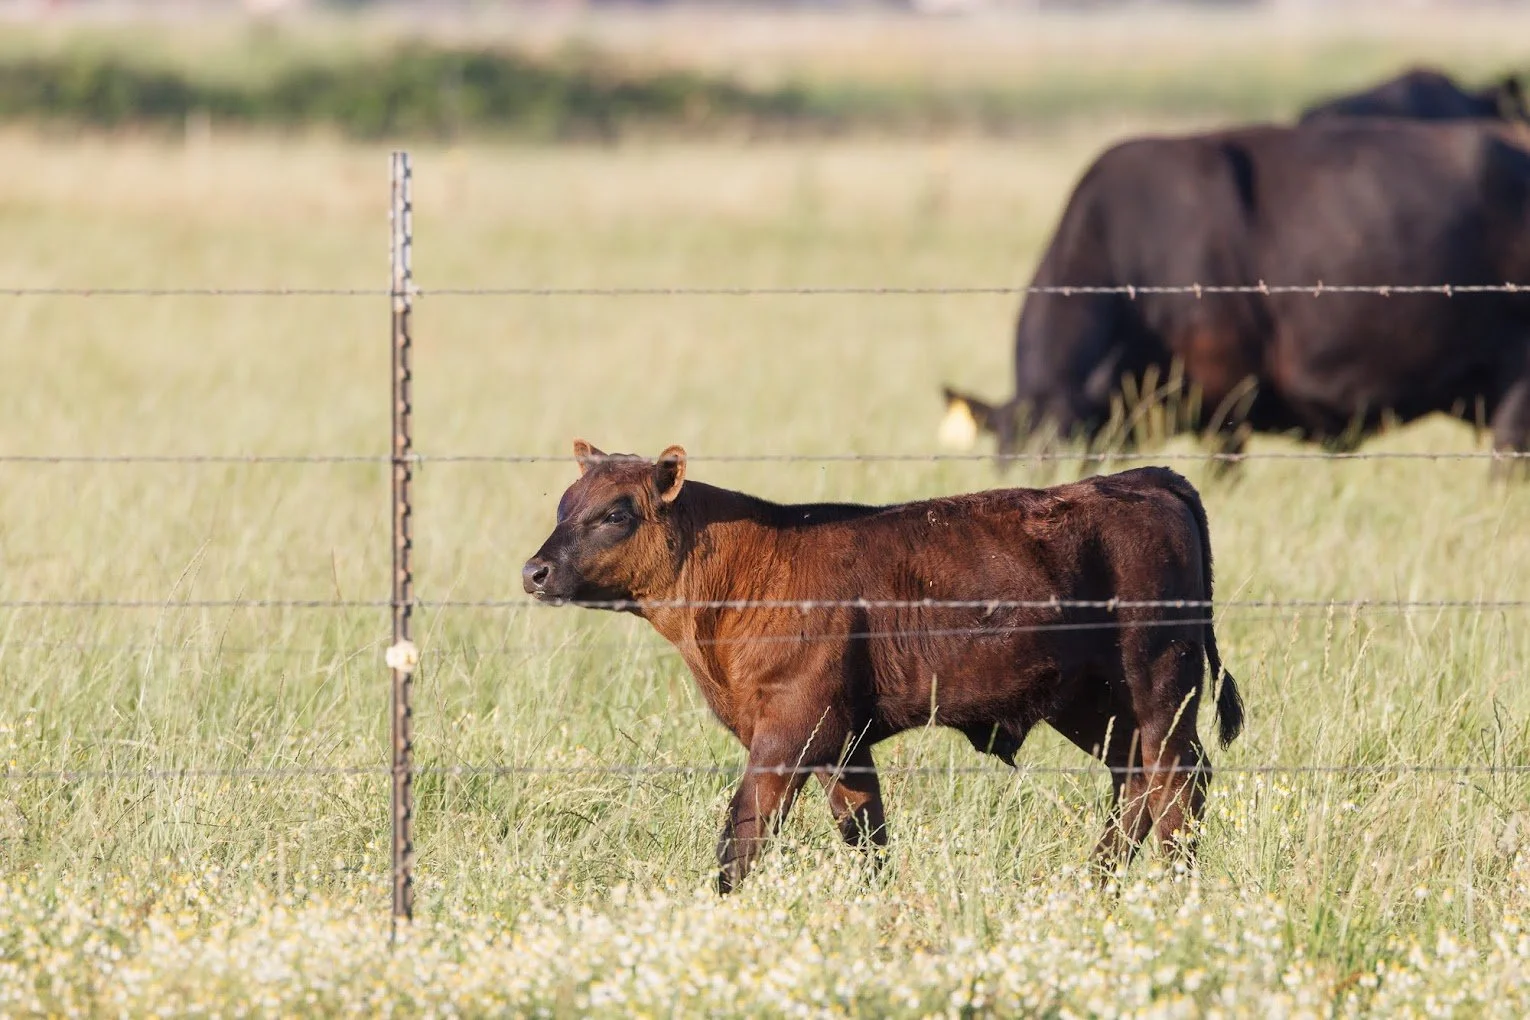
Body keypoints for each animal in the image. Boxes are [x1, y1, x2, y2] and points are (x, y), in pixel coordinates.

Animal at [522, 440, 1245, 893]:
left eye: (616, 512)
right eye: (562, 505)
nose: (536, 571)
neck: (749, 569)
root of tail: (1144, 479)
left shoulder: (788, 732)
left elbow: (742, 838)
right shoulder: (842, 746)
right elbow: (866, 837)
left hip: (1160, 690)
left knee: (1178, 784)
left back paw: (1171, 890)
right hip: (1095, 707)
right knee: (1136, 784)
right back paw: (1096, 886)